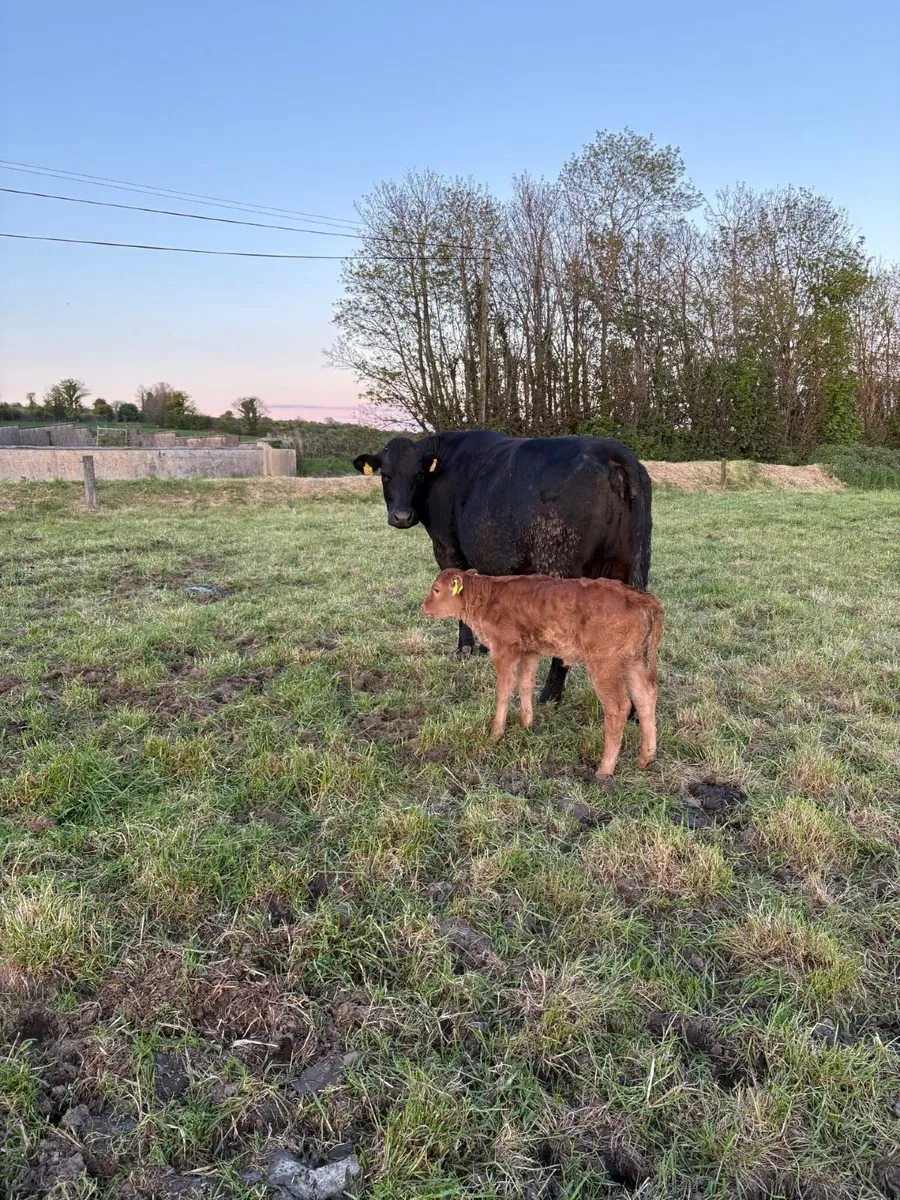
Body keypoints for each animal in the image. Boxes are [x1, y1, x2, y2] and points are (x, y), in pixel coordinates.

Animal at [353, 430, 652, 704]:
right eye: (385, 475)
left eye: (417, 475)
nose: (402, 517)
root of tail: (611, 451)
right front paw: (485, 648)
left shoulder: (446, 547)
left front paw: (464, 650)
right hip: (632, 566)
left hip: (560, 564)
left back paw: (549, 696)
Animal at [421, 569, 663, 776]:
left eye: (436, 590)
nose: (423, 606)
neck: (486, 597)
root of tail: (636, 595)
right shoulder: (530, 652)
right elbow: (525, 684)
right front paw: (526, 724)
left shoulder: (503, 650)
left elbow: (503, 691)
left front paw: (495, 733)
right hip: (633, 659)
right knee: (645, 696)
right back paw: (645, 758)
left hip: (604, 665)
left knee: (619, 707)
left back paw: (604, 770)